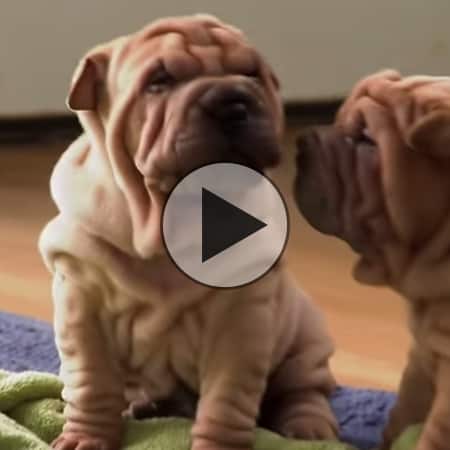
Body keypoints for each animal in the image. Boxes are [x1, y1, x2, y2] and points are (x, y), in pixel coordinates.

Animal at [39, 14, 338, 450]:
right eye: (159, 81)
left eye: (252, 74)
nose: (232, 100)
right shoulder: (82, 302)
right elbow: (92, 384)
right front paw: (86, 438)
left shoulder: (241, 321)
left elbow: (226, 399)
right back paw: (143, 405)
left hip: (306, 337)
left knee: (305, 389)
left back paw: (308, 427)